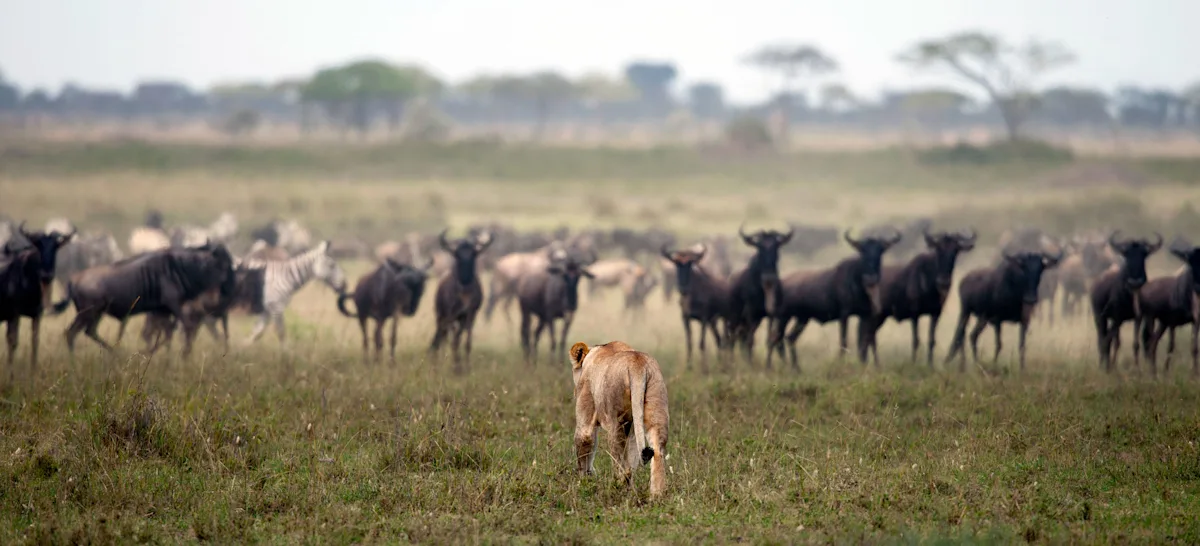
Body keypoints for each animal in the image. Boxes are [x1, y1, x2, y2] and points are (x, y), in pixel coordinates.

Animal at [568, 340, 670, 498]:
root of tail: (638, 364)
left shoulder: (586, 412)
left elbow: (585, 442)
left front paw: (584, 481)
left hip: (616, 421)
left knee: (619, 463)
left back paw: (617, 489)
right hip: (656, 404)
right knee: (656, 452)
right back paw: (655, 495)